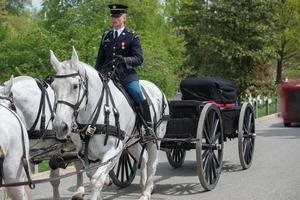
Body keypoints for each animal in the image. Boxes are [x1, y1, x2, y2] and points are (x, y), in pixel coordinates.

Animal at [50, 47, 170, 199]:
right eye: (53, 87)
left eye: (75, 86)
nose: (60, 127)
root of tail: (158, 90)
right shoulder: (87, 154)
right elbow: (92, 176)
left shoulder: (114, 152)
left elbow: (96, 180)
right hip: (132, 141)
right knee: (144, 158)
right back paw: (144, 185)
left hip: (154, 138)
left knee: (152, 163)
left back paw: (146, 192)